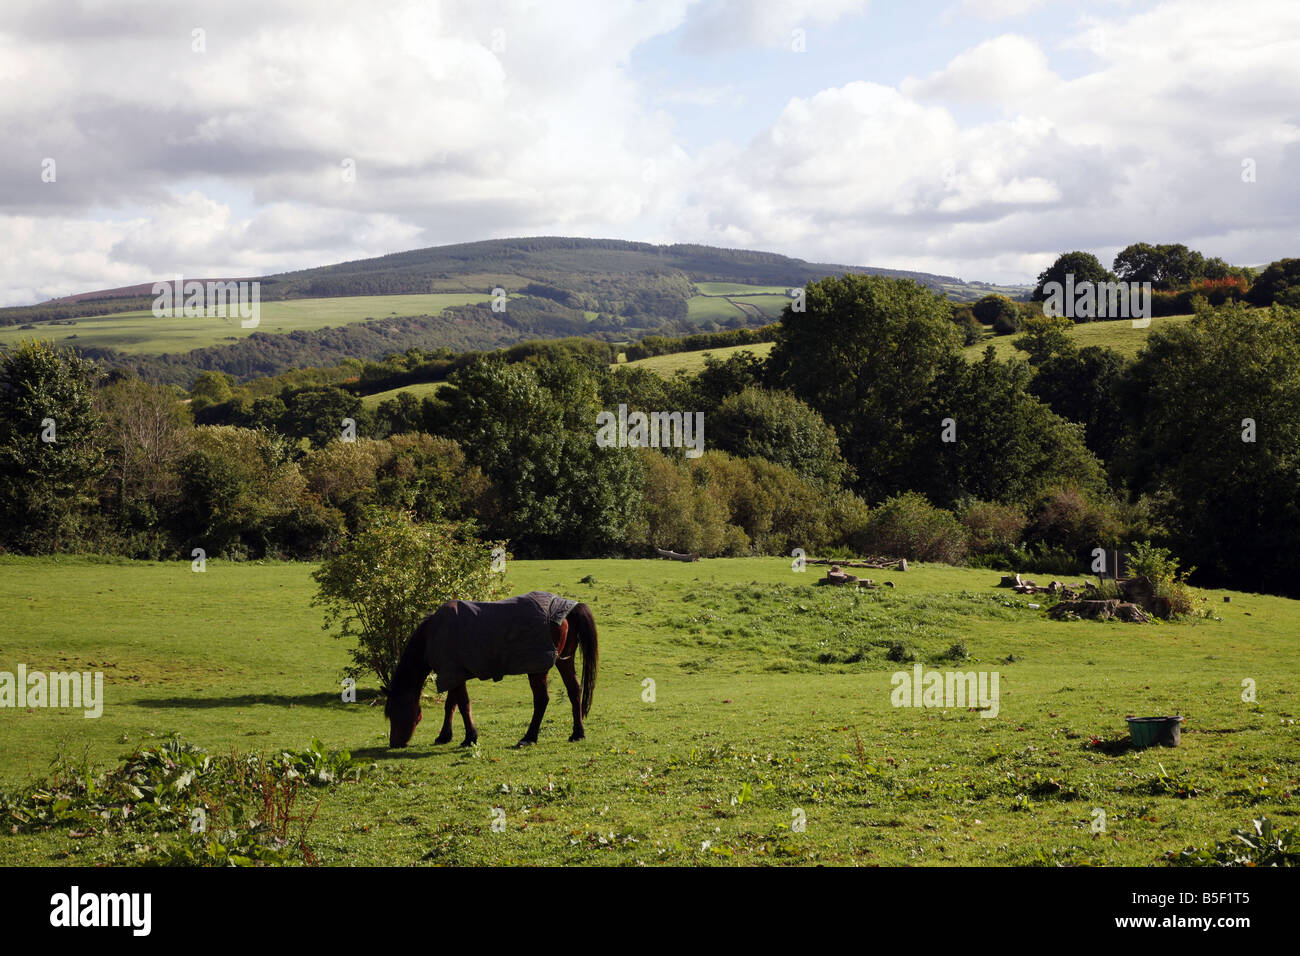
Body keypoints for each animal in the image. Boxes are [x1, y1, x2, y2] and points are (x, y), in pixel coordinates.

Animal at [379, 590, 595, 749]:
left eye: (396, 711)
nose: (394, 743)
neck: (431, 634)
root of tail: (565, 609)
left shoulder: (452, 673)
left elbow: (463, 706)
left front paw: (469, 738)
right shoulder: (453, 674)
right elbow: (451, 705)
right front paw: (444, 736)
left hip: (537, 668)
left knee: (542, 699)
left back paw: (529, 737)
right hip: (564, 661)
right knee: (574, 691)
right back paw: (578, 733)